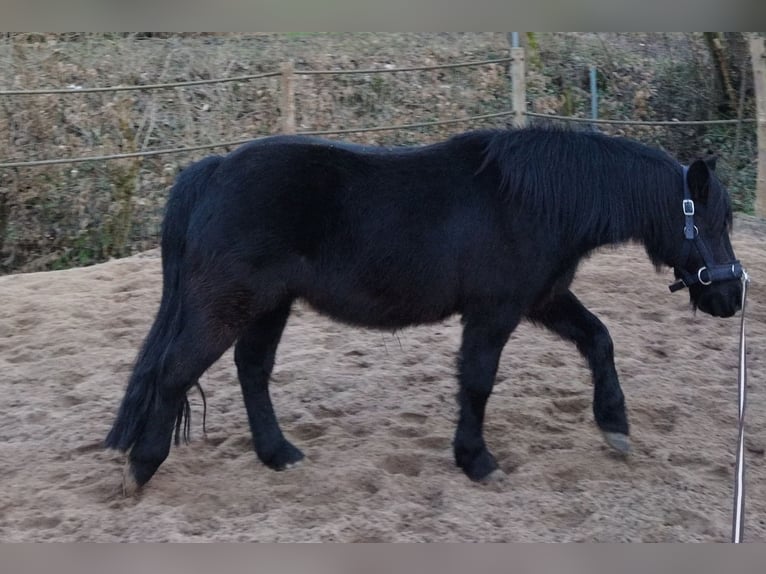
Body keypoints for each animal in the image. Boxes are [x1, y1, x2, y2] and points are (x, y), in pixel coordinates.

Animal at [103, 126, 744, 496]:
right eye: (713, 222)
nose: (731, 298)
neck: (533, 200)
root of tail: (213, 172)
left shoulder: (542, 300)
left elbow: (600, 340)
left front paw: (614, 426)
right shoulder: (495, 311)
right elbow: (478, 382)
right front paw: (477, 461)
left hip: (268, 306)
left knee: (251, 370)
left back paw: (278, 455)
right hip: (227, 304)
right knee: (175, 373)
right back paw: (141, 469)